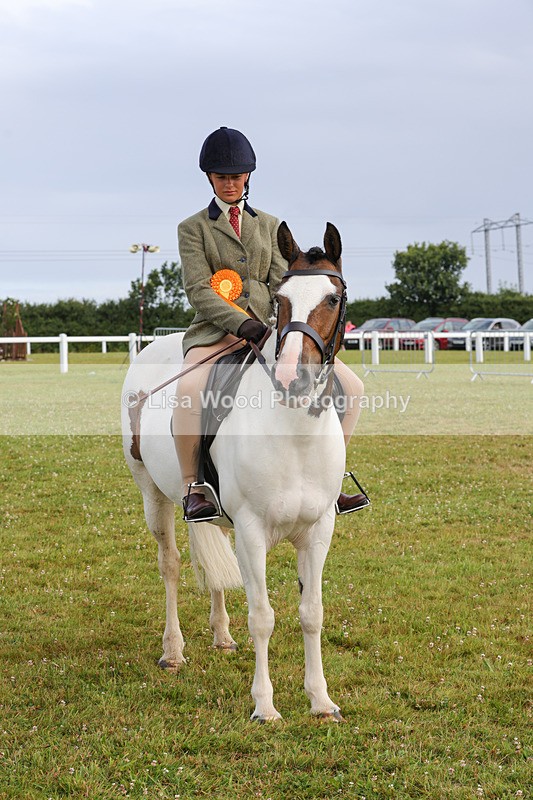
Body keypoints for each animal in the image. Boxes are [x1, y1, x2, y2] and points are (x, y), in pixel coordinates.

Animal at [121, 221, 352, 721]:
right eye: (281, 299)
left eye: (333, 298)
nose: (293, 378)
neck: (292, 431)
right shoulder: (251, 530)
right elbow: (263, 617)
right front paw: (264, 706)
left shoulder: (318, 530)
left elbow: (312, 613)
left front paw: (321, 700)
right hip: (153, 495)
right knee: (170, 564)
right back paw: (173, 651)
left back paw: (222, 636)